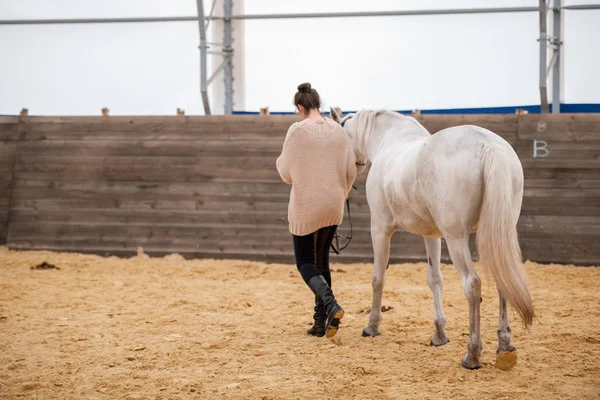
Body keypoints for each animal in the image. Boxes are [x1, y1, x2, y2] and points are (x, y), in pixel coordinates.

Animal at [332, 108, 536, 370]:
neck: (390, 139)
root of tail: (488, 145)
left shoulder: (379, 228)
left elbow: (378, 279)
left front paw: (372, 326)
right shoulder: (431, 236)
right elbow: (435, 280)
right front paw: (439, 334)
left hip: (456, 237)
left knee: (472, 283)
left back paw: (472, 354)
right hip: (495, 234)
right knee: (503, 280)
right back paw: (504, 345)